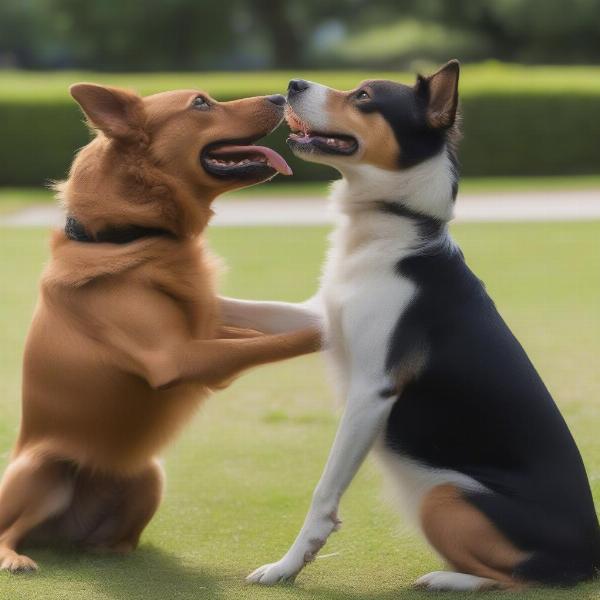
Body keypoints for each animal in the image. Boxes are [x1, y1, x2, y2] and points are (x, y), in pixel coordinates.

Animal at [0, 84, 318, 572]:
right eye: (201, 103)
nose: (280, 95)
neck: (127, 234)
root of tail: (61, 537)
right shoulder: (176, 357)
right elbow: (275, 343)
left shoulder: (201, 329)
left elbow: (260, 332)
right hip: (43, 472)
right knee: (7, 531)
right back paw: (14, 557)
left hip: (149, 474)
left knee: (107, 542)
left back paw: (113, 552)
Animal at [221, 62, 600, 592]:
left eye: (363, 97)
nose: (293, 85)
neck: (394, 225)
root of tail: (592, 554)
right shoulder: (322, 317)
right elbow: (240, 306)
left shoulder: (371, 392)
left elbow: (323, 494)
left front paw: (288, 565)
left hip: (444, 495)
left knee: (526, 576)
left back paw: (446, 579)